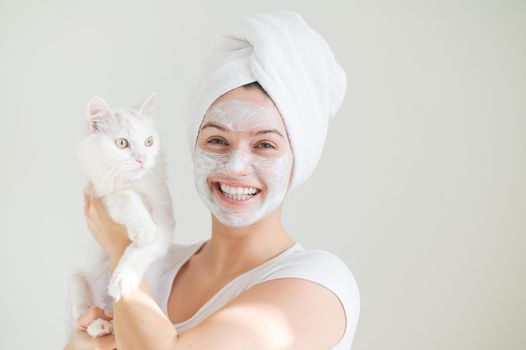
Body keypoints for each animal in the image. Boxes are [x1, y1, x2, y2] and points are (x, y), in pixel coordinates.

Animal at [65, 92, 176, 340]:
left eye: (149, 142)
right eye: (122, 143)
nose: (142, 160)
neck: (135, 182)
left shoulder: (165, 220)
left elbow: (140, 251)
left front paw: (123, 279)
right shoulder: (105, 193)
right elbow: (126, 197)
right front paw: (144, 230)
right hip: (76, 281)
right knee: (85, 315)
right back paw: (100, 327)